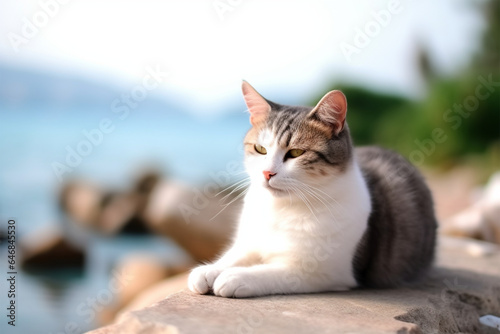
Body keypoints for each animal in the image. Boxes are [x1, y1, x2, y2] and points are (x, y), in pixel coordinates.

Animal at [188, 81, 438, 298]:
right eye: (260, 149)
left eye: (296, 153)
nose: (267, 173)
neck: (281, 209)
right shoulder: (250, 242)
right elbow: (234, 256)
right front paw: (209, 270)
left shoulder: (322, 273)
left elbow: (270, 271)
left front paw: (236, 277)